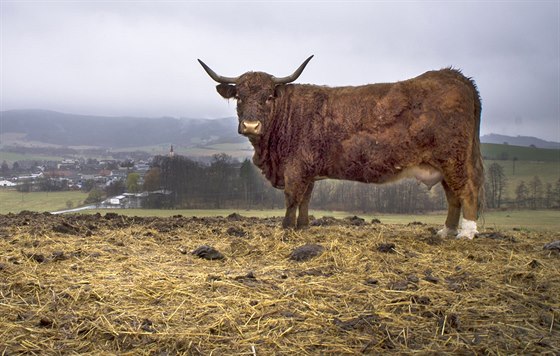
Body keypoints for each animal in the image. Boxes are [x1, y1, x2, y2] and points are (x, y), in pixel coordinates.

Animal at [199, 56, 484, 239]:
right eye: (239, 97)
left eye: (268, 97)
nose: (250, 125)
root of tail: (454, 75)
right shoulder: (308, 170)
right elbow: (305, 199)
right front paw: (303, 227)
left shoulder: (295, 168)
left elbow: (292, 198)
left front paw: (286, 229)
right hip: (444, 164)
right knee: (453, 196)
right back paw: (446, 231)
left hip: (455, 159)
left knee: (467, 190)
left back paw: (467, 233)